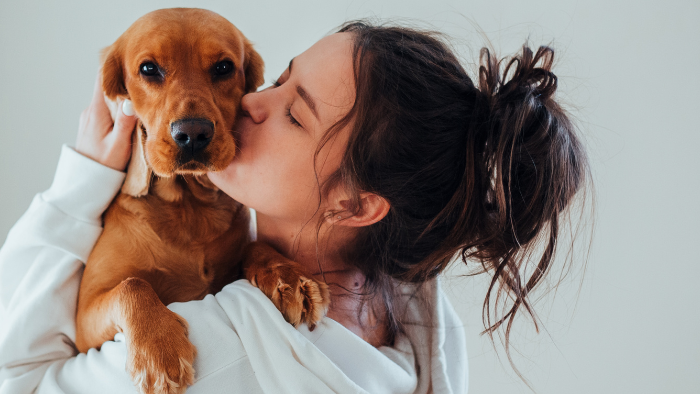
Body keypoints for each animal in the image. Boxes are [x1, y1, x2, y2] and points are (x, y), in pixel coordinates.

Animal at [78, 9, 330, 394]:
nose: (193, 134)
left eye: (224, 67)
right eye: (149, 69)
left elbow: (255, 246)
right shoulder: (82, 322)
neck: (189, 208)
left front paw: (288, 274)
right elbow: (132, 285)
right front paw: (158, 350)